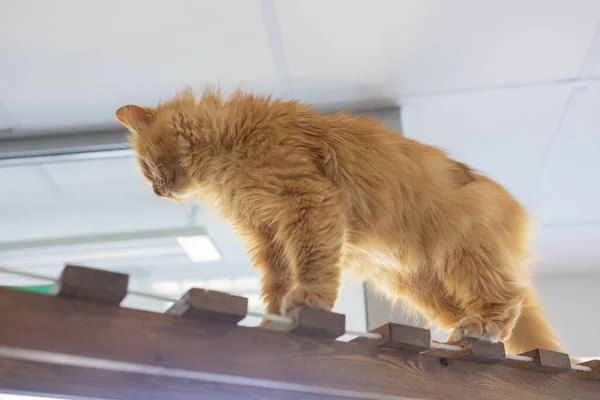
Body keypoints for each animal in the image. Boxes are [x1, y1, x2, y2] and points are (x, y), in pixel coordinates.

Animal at [116, 88, 564, 354]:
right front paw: (272, 316)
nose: (157, 192)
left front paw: (308, 300)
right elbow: (276, 282)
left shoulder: (308, 200)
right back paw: (463, 334)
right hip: (425, 285)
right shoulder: (267, 233)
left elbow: (312, 263)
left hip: (464, 252)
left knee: (509, 295)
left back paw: (483, 326)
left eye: (146, 168)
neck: (228, 145)